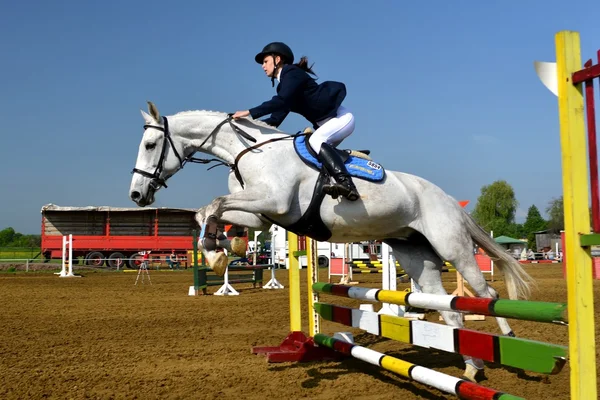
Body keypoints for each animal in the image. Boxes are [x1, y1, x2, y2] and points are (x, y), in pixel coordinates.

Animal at [130, 101, 536, 382]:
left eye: (150, 144)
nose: (136, 195)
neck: (251, 151)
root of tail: (449, 198)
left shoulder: (272, 204)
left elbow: (213, 204)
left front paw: (218, 251)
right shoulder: (261, 214)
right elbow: (208, 212)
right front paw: (223, 251)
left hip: (452, 246)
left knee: (486, 294)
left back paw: (511, 343)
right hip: (415, 255)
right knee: (449, 310)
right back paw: (472, 368)